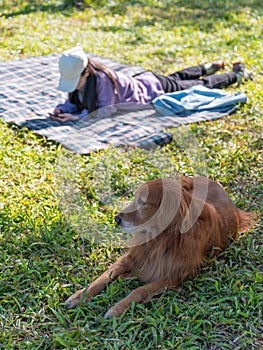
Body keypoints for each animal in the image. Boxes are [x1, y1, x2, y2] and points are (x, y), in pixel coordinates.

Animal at [65, 175, 255, 318]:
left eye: (143, 203)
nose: (117, 218)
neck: (161, 239)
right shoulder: (132, 257)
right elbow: (103, 277)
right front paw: (79, 296)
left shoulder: (173, 276)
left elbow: (139, 291)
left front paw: (117, 308)